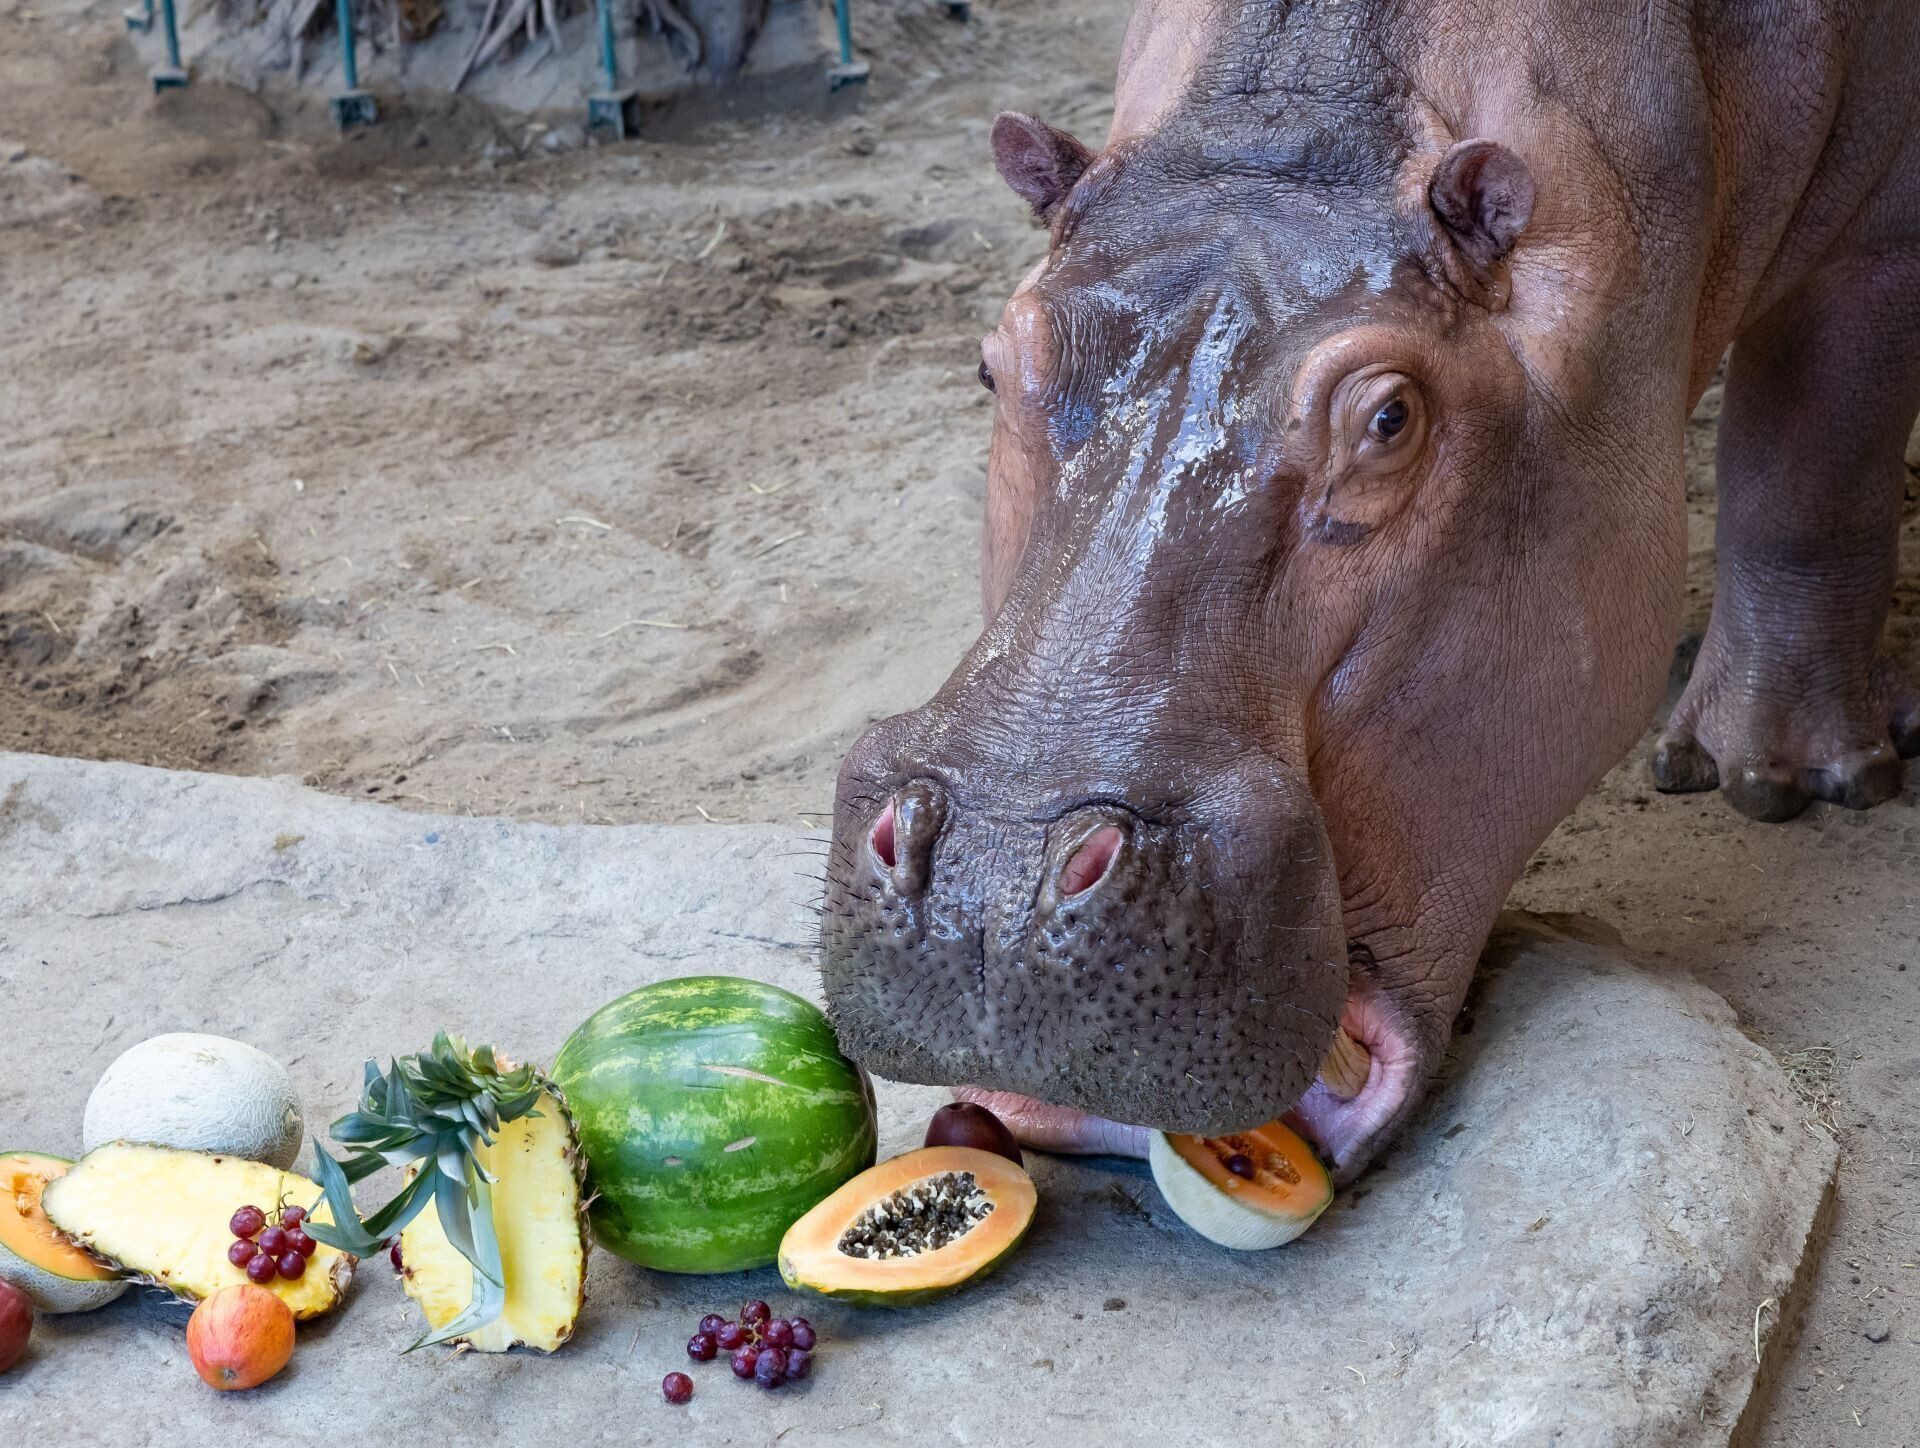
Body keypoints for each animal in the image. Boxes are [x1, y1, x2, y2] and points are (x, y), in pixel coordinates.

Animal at [821, 0, 1920, 1181]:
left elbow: (1811, 477)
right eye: (994, 364)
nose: (990, 882)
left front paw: (1777, 778)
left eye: (1390, 418)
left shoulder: (1880, 243)